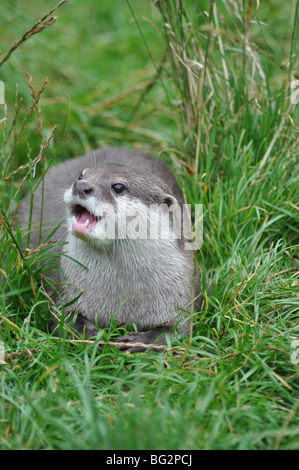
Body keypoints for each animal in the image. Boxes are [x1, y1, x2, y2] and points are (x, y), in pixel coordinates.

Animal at [18, 147, 202, 348]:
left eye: (118, 187)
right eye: (81, 175)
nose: (81, 186)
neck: (121, 297)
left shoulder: (182, 294)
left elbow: (177, 331)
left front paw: (137, 341)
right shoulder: (67, 289)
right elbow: (62, 319)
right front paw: (93, 336)